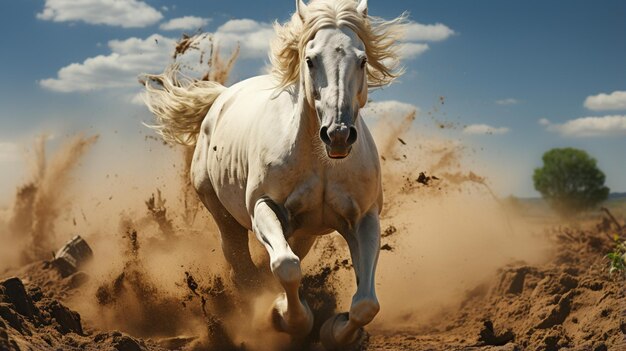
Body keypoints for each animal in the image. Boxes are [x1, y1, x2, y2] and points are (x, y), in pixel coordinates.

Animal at [143, 0, 404, 348]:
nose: (338, 135)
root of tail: (219, 98)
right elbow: (286, 266)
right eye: (310, 59)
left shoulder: (365, 218)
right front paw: (285, 317)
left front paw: (333, 331)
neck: (322, 163)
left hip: (305, 230)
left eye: (362, 60)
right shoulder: (264, 207)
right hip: (221, 212)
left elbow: (366, 304)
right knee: (240, 264)